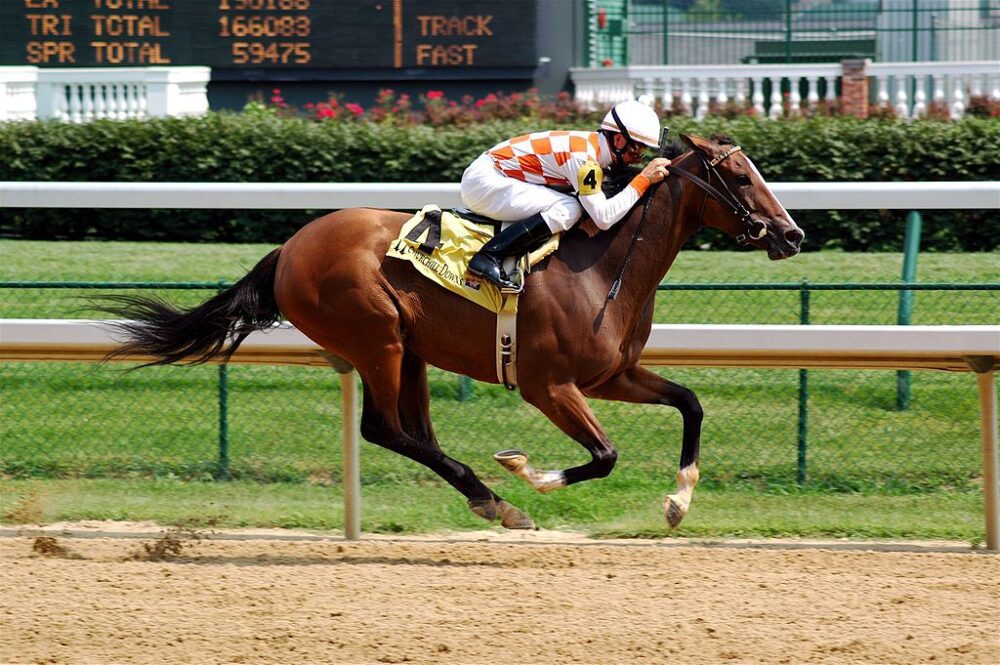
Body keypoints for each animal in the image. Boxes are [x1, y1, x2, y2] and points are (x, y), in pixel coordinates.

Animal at [104, 132, 804, 531]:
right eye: (739, 176)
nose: (793, 233)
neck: (604, 263)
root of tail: (289, 247)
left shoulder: (611, 374)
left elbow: (690, 403)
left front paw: (678, 501)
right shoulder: (549, 385)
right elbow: (605, 456)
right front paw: (527, 471)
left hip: (409, 350)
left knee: (414, 432)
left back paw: (486, 499)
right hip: (376, 338)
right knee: (383, 429)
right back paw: (498, 499)